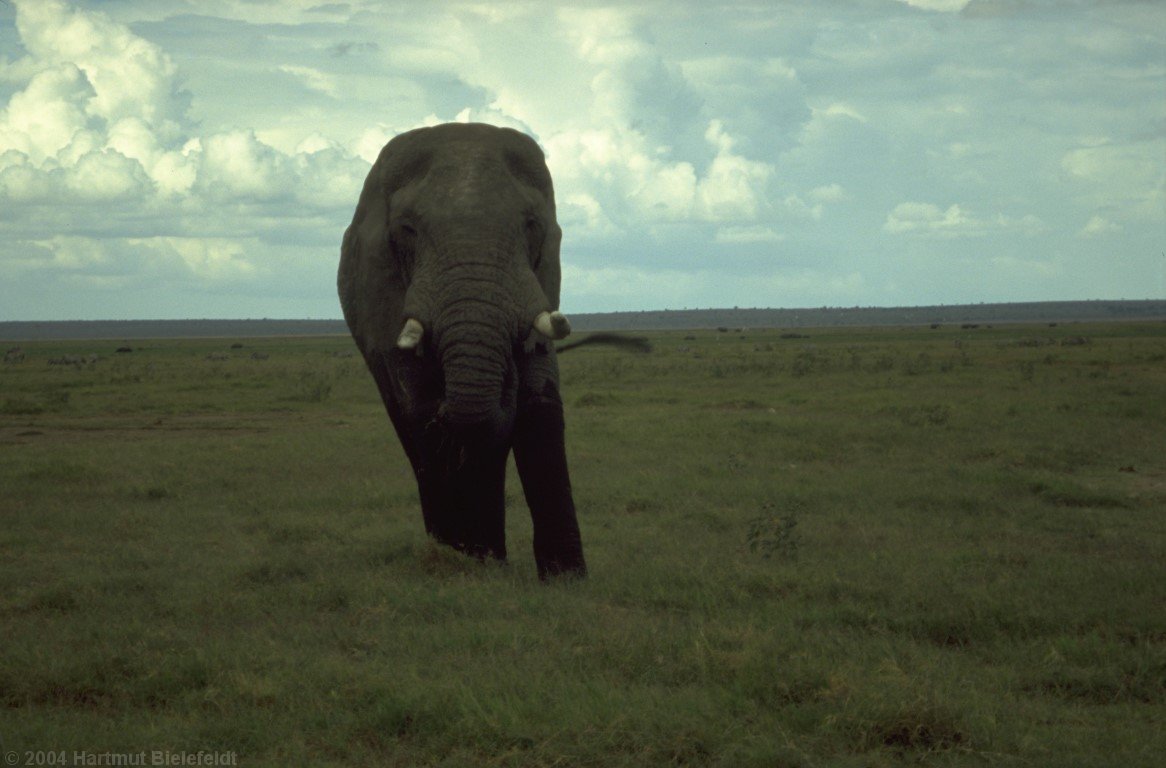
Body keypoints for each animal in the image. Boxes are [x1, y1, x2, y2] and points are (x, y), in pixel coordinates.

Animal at [340, 121, 592, 578]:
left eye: (532, 225)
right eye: (407, 230)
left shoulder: (544, 279)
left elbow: (539, 401)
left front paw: (567, 580)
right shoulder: (381, 292)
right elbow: (422, 406)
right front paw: (469, 564)